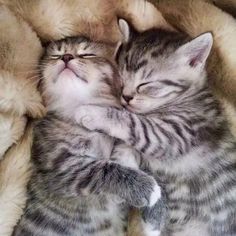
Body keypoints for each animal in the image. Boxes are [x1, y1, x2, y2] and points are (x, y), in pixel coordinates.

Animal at [11, 36, 160, 236]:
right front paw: (146, 188)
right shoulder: (60, 165)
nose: (66, 56)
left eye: (87, 54)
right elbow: (103, 169)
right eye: (55, 54)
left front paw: (154, 214)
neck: (74, 106)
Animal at [74, 20, 236, 236]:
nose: (126, 97)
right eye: (121, 78)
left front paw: (91, 112)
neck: (187, 97)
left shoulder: (174, 134)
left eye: (146, 85)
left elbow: (133, 123)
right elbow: (128, 147)